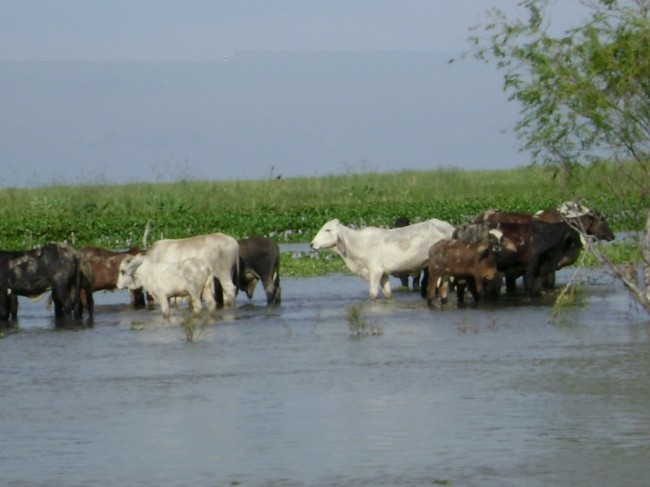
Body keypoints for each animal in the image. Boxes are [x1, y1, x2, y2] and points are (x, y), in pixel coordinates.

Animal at [310, 218, 454, 302]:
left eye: (327, 230)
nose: (312, 244)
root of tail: (450, 227)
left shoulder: (376, 271)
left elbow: (373, 294)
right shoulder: (384, 273)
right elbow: (388, 293)